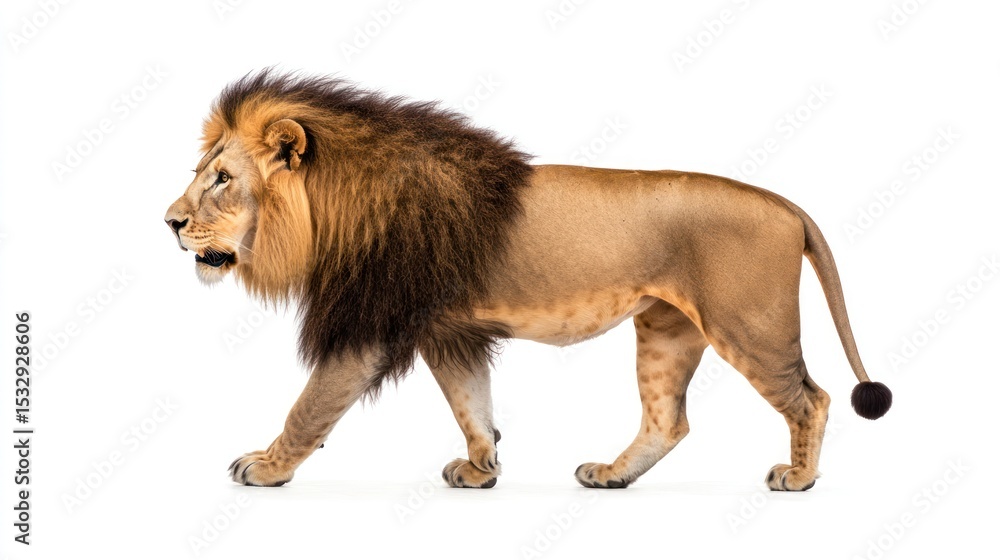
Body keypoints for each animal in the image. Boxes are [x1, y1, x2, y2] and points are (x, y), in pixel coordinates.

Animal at [165, 70, 891, 491]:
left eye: (222, 179)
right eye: (205, 173)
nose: (169, 222)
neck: (332, 207)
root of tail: (786, 205)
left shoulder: (368, 325)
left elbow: (311, 405)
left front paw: (266, 466)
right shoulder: (448, 331)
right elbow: (471, 403)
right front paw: (481, 468)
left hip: (750, 325)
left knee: (813, 398)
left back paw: (799, 478)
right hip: (666, 329)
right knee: (668, 421)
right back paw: (610, 475)